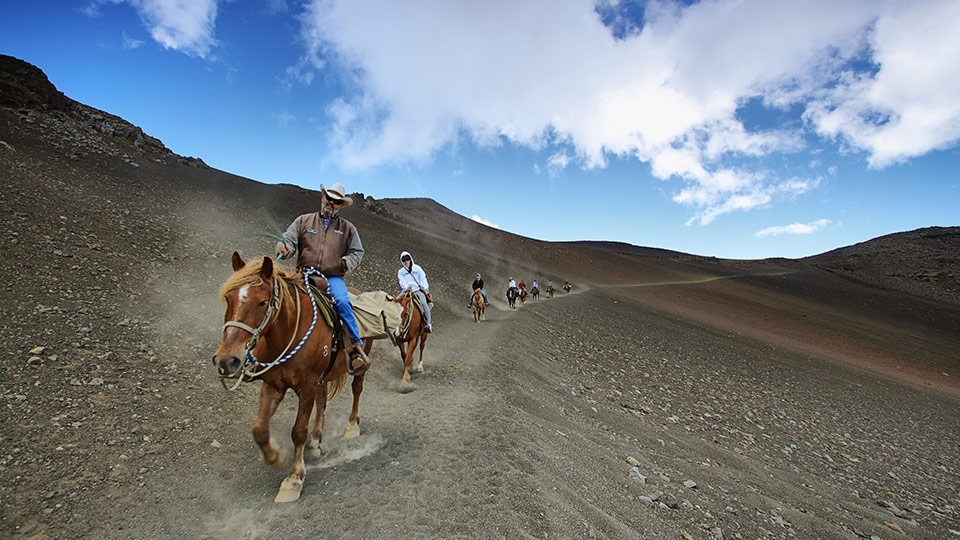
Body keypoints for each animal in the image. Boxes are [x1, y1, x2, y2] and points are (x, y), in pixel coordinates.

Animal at [212, 252, 366, 502]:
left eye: (262, 302)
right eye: (228, 298)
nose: (226, 360)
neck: (289, 332)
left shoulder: (307, 386)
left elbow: (298, 432)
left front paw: (293, 479)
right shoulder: (274, 385)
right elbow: (259, 429)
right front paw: (274, 458)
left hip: (359, 366)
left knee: (357, 390)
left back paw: (352, 426)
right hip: (323, 377)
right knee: (322, 402)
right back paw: (315, 440)